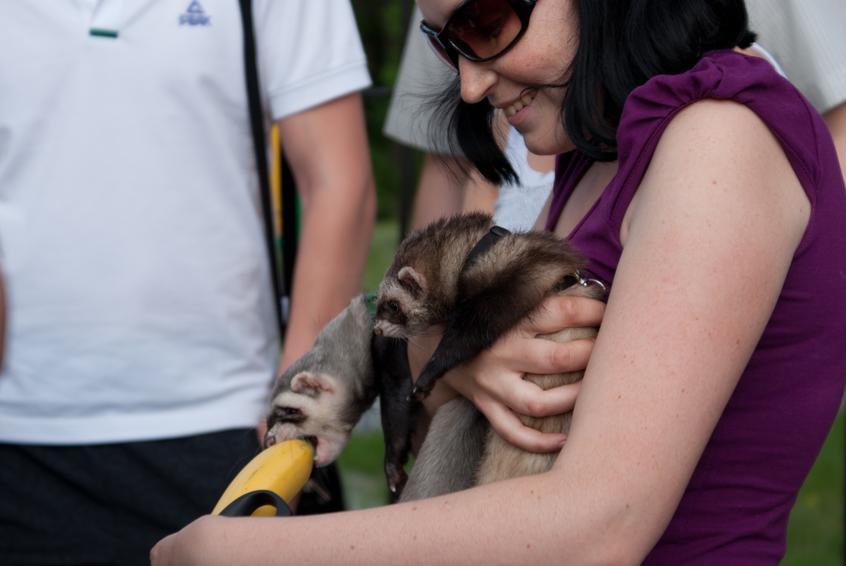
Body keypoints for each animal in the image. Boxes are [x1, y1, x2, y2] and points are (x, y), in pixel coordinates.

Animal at [372, 212, 606, 499]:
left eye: (393, 305)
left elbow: (468, 334)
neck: (483, 253)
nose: (377, 328)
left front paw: (428, 373)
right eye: (378, 300)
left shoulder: (510, 287)